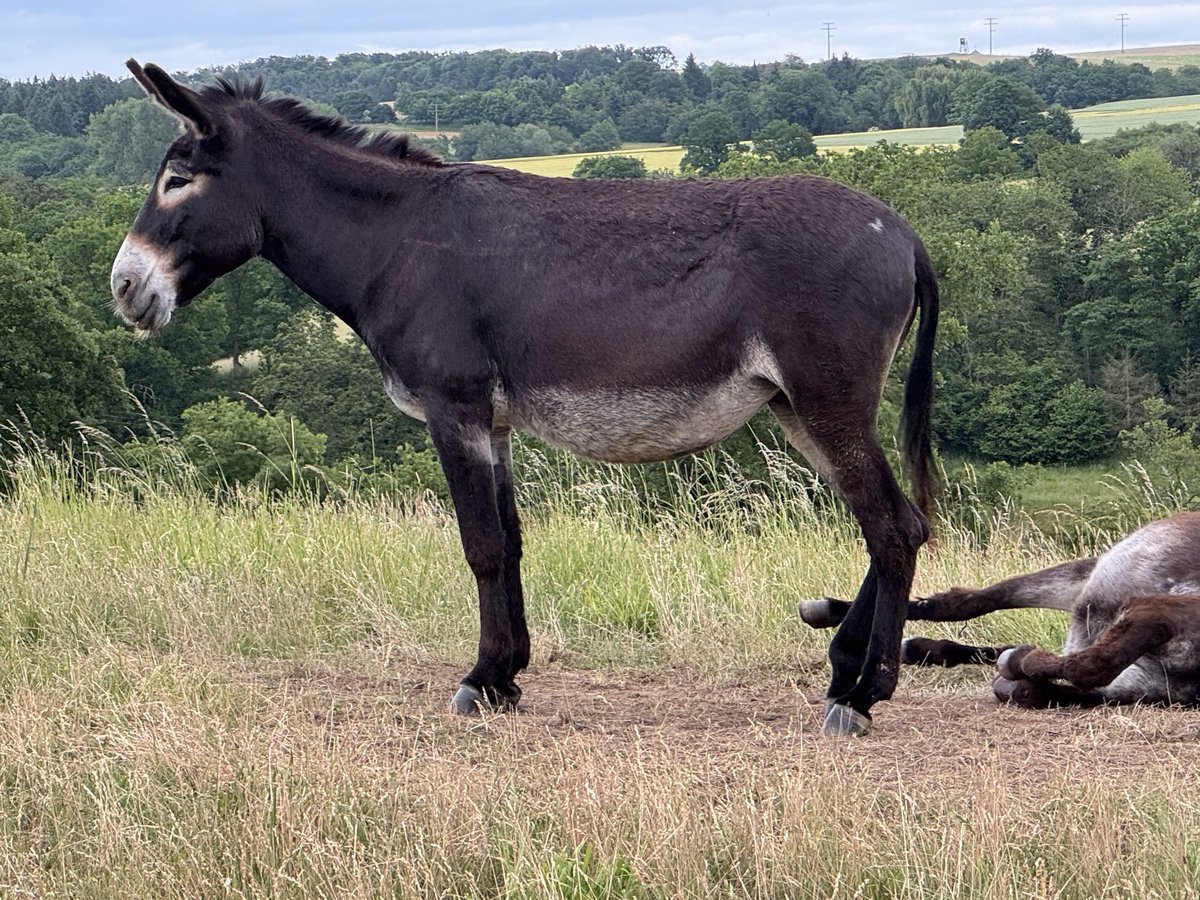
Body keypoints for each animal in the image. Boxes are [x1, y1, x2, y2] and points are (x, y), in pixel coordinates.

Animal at [110, 61, 939, 736]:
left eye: (178, 179)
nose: (122, 287)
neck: (395, 242)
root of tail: (903, 231)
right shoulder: (495, 422)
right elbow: (508, 541)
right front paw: (507, 677)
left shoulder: (454, 410)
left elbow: (478, 544)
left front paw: (479, 681)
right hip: (795, 407)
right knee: (900, 522)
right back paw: (842, 670)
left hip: (827, 401)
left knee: (893, 528)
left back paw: (865, 694)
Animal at [799, 512, 1200, 708]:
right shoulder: (1151, 610)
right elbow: (1090, 664)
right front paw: (1019, 662)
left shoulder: (1142, 685)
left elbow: (1044, 685)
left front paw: (1018, 672)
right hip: (1088, 578)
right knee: (966, 603)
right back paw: (827, 612)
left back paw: (915, 648)